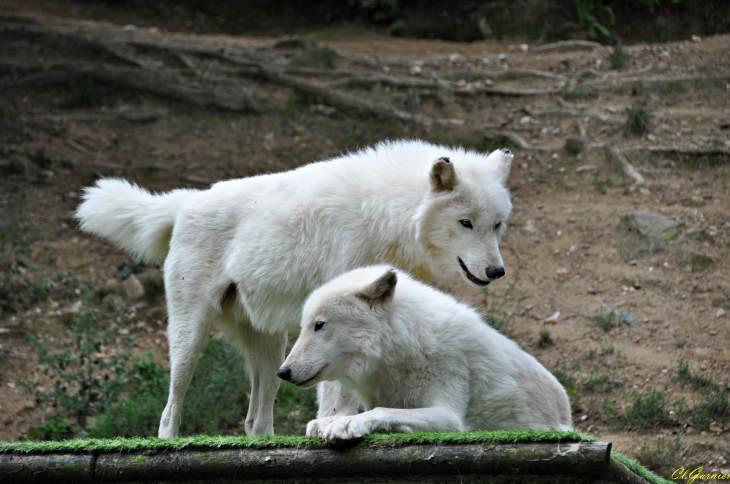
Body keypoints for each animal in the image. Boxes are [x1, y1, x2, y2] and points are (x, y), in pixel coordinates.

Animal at [75, 138, 512, 436]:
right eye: (465, 223)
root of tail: (186, 202)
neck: (387, 215)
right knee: (170, 410)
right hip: (191, 336)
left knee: (254, 420)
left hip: (273, 349)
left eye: (497, 225)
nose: (496, 271)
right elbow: (335, 392)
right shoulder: (333, 323)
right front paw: (331, 424)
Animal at [278, 264, 576, 442]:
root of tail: (568, 412)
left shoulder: (450, 418)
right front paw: (330, 420)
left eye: (319, 325)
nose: (283, 372)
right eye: (304, 327)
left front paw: (348, 423)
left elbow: (383, 411)